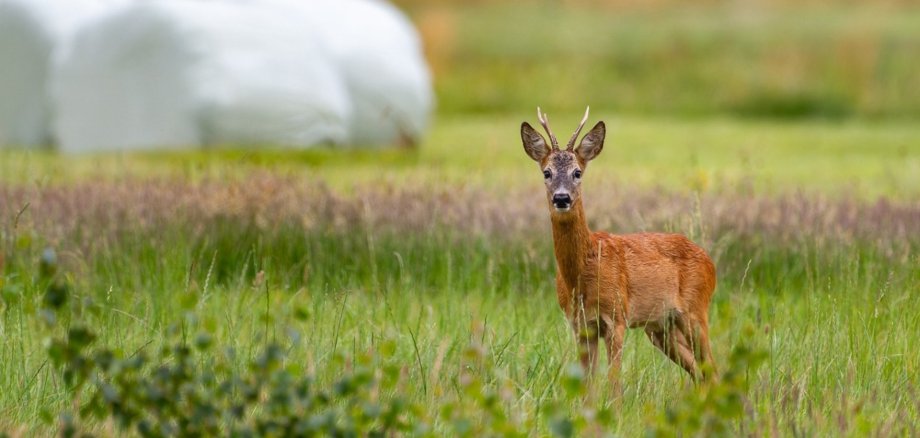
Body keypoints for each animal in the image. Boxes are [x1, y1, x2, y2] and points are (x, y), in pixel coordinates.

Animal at [520, 107, 718, 389]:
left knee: (712, 367)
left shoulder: (617, 317)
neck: (583, 273)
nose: (561, 198)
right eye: (546, 172)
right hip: (661, 327)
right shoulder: (580, 325)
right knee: (699, 371)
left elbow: (614, 382)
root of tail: (710, 261)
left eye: (577, 172)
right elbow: (587, 385)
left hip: (695, 310)